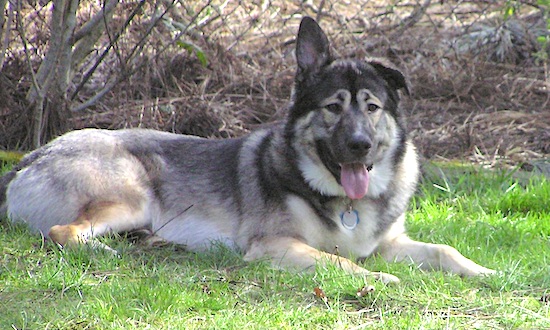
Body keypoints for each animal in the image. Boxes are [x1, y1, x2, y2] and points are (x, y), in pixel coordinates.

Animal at [0, 16, 496, 282]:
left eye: (372, 107)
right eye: (334, 107)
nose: (360, 145)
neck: (342, 198)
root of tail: (29, 159)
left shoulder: (391, 243)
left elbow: (444, 250)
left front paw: (487, 272)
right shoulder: (277, 246)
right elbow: (338, 260)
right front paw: (377, 280)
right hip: (130, 194)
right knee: (62, 233)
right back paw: (107, 253)